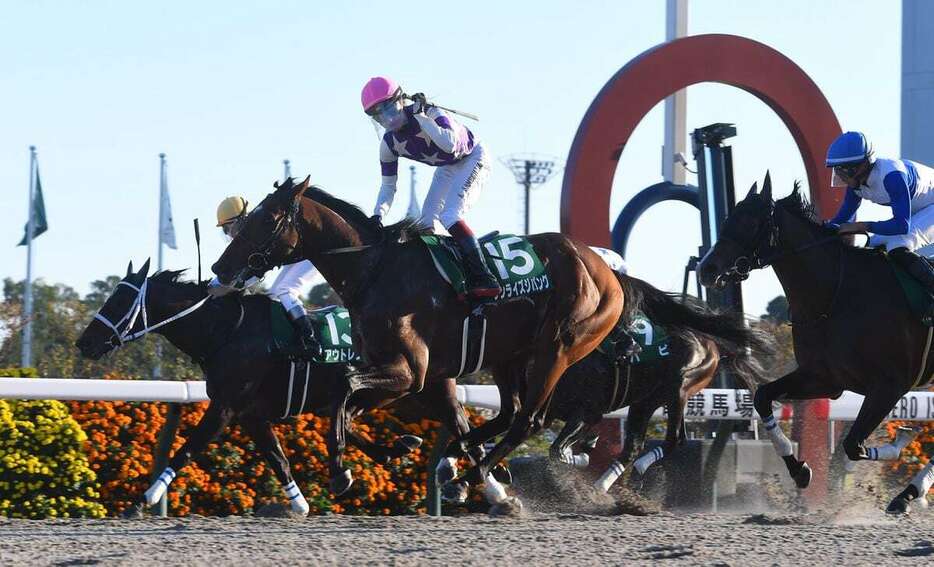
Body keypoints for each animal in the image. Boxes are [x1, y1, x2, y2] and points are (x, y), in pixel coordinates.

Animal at [77, 262, 428, 520]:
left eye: (119, 301)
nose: (84, 343)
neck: (225, 331)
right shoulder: (251, 415)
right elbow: (278, 459)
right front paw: (300, 505)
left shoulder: (225, 407)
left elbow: (186, 449)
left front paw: (142, 501)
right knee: (347, 420)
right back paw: (399, 447)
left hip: (388, 386)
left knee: (350, 416)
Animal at [208, 178, 624, 506]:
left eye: (267, 219)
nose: (219, 268)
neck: (373, 271)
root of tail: (603, 268)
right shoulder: (402, 374)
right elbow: (347, 408)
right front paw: (397, 449)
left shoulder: (410, 372)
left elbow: (343, 388)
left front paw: (340, 472)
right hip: (509, 355)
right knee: (510, 413)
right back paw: (457, 462)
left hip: (557, 349)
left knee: (529, 419)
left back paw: (467, 477)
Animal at [544, 276, 772, 492]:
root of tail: (711, 344)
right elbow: (558, 449)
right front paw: (586, 448)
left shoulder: (587, 411)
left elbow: (557, 451)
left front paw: (583, 454)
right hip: (646, 401)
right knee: (634, 447)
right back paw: (601, 487)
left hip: (678, 388)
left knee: (673, 440)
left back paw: (633, 471)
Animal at [700, 174, 932, 510]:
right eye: (728, 218)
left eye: (750, 222)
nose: (707, 269)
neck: (835, 296)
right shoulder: (825, 378)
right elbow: (763, 397)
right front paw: (799, 470)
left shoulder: (890, 385)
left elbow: (853, 446)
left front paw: (902, 440)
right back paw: (907, 494)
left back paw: (908, 493)